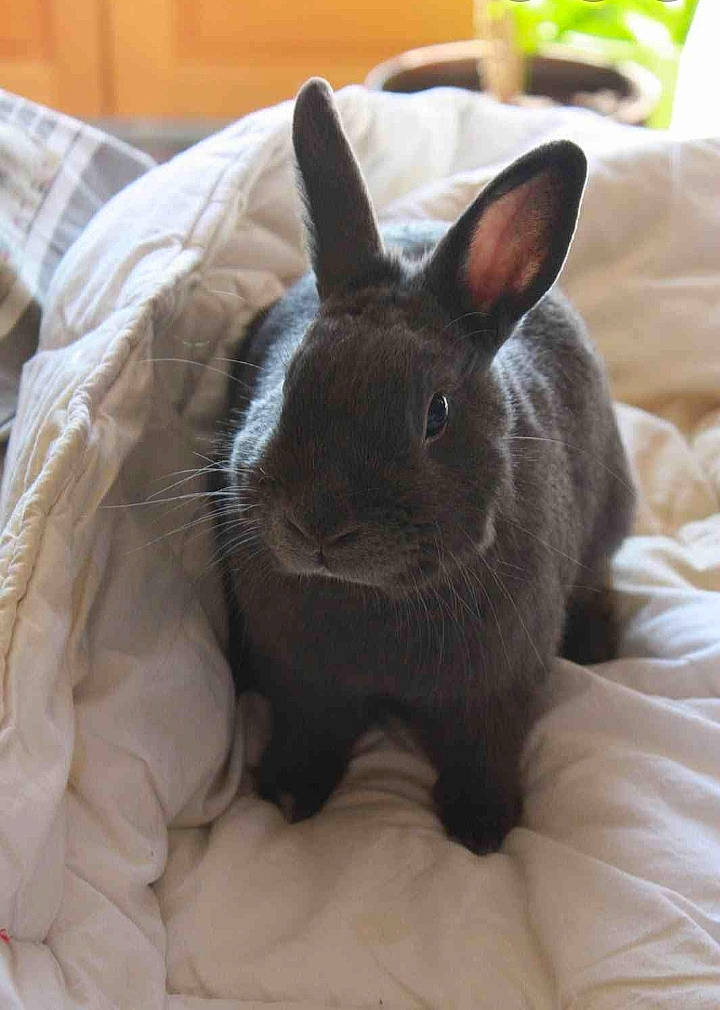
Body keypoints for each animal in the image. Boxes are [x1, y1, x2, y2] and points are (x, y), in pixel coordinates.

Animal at [216, 78, 635, 854]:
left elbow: (483, 751)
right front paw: (288, 794)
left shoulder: (497, 690)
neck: (370, 596)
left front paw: (482, 830)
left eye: (435, 414)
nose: (318, 526)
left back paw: (597, 642)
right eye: (288, 378)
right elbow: (311, 731)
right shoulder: (302, 682)